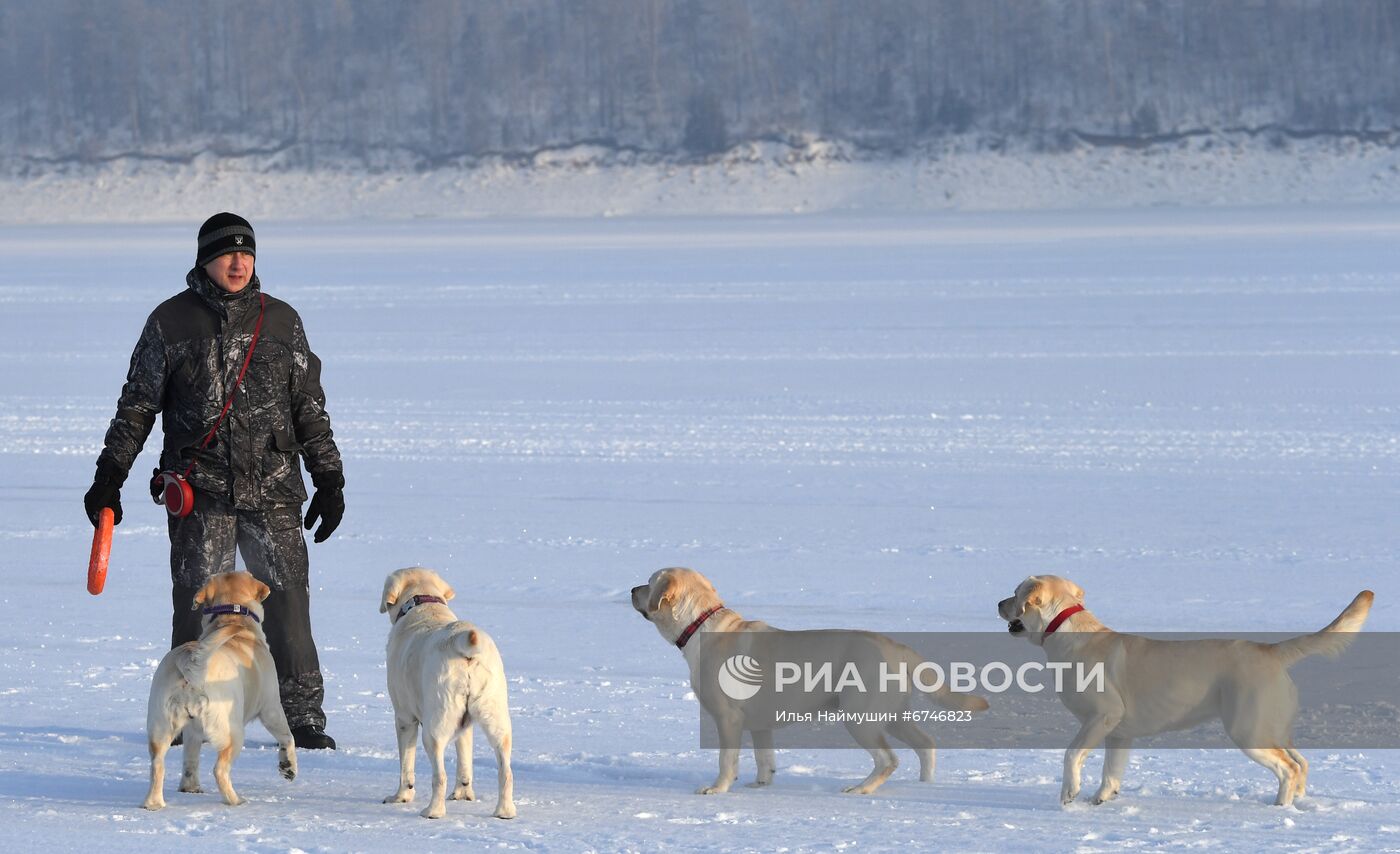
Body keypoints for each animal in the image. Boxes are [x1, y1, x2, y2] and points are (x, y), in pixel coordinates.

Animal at [143, 571, 296, 806]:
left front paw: (189, 788)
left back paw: (156, 803)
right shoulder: (271, 707)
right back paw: (236, 800)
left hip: (160, 727)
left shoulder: (193, 730)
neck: (232, 617)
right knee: (220, 770)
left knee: (158, 765)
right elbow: (287, 737)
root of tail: (192, 662)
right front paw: (288, 767)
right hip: (232, 731)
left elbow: (190, 758)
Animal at [380, 568, 518, 812]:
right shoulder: (465, 724)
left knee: (439, 775)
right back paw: (504, 811)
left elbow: (406, 766)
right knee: (506, 771)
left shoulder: (404, 718)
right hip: (496, 718)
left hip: (435, 726)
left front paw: (401, 797)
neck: (424, 603)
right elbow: (464, 761)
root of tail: (462, 643)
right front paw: (463, 794)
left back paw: (433, 811)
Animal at [630, 565, 991, 789]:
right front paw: (761, 784)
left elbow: (726, 761)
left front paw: (716, 789)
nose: (632, 588)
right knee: (926, 745)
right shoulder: (759, 724)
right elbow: (764, 759)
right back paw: (926, 784)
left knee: (888, 759)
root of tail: (896, 646)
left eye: (649, 580)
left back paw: (860, 789)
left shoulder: (727, 718)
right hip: (892, 715)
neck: (699, 625)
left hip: (860, 717)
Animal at [996, 571, 1377, 806]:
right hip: (1274, 726)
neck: (1064, 632)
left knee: (1289, 768)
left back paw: (1279, 806)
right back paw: (1296, 800)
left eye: (1014, 594)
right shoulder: (1119, 732)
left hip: (1248, 730)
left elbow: (1071, 754)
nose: (997, 603)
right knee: (1303, 763)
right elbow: (1111, 771)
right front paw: (1101, 799)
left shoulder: (1102, 716)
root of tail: (1270, 649)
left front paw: (1070, 794)